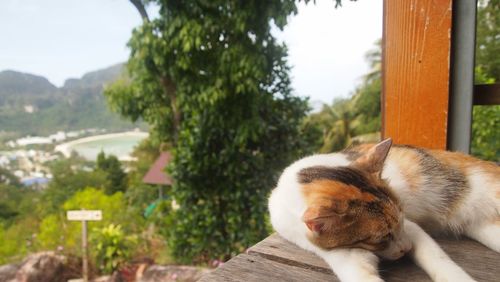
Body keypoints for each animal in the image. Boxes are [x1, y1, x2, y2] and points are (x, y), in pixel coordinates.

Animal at [270, 139, 500, 282]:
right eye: (381, 238)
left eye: (402, 220)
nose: (407, 248)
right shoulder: (344, 253)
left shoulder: (411, 227)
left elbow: (437, 258)